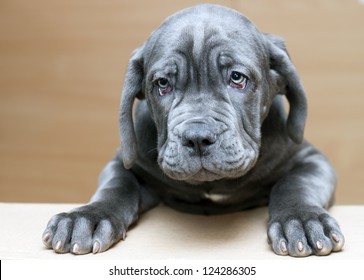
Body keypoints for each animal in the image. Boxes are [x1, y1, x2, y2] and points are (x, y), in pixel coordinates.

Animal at [42, 4, 344, 258]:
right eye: (163, 83)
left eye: (237, 78)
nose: (198, 137)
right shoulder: (124, 163)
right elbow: (116, 186)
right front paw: (87, 218)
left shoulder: (311, 159)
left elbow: (297, 183)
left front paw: (302, 219)